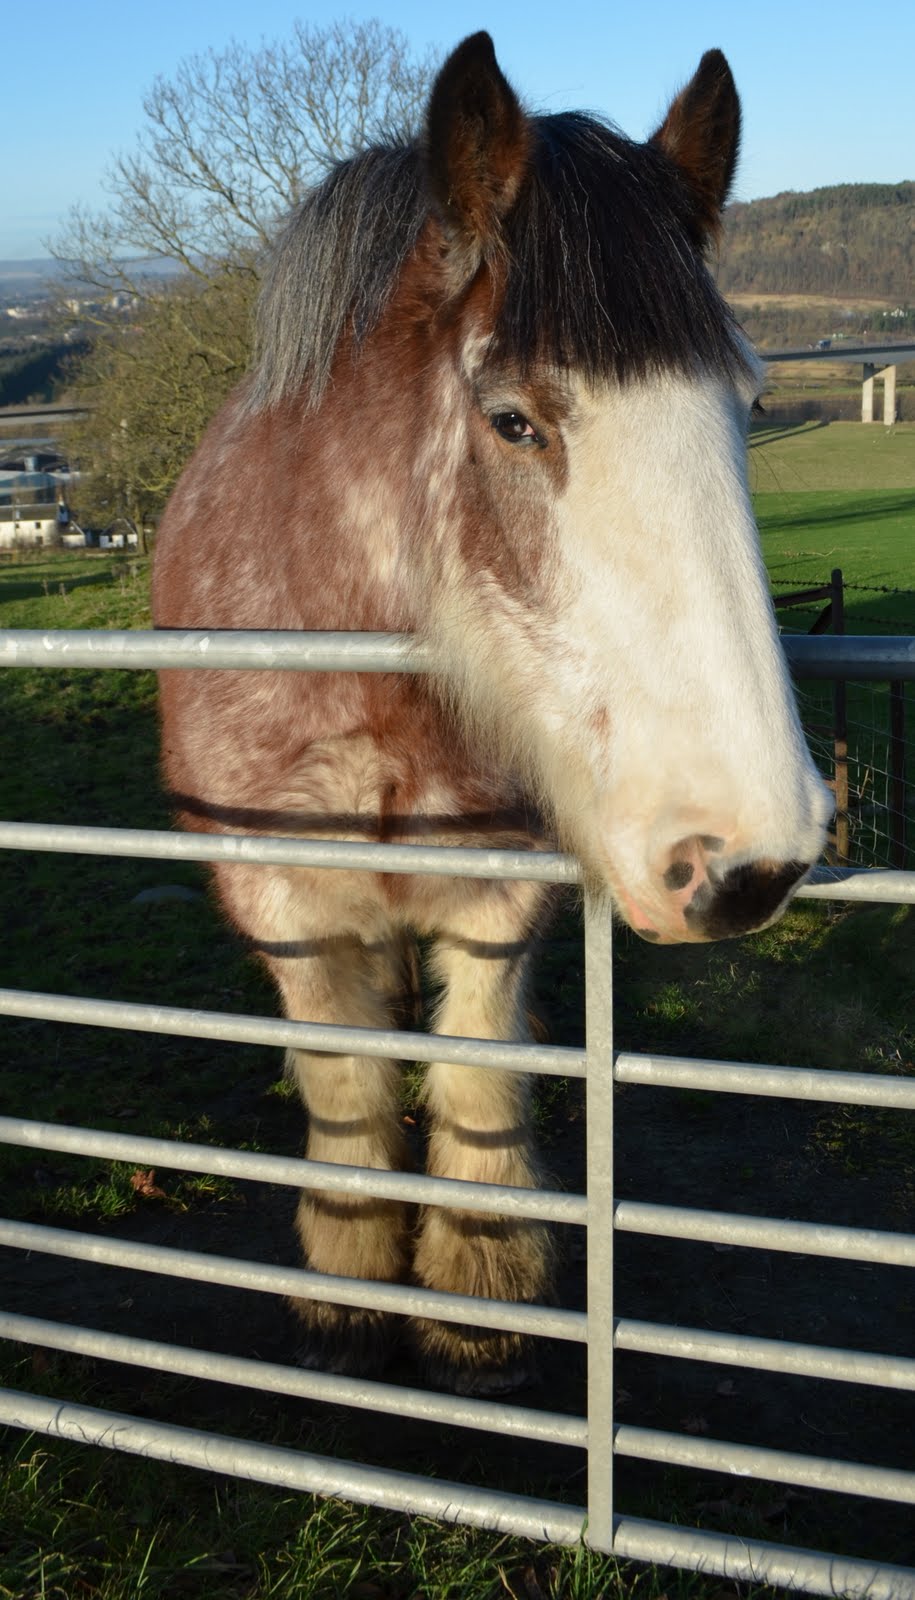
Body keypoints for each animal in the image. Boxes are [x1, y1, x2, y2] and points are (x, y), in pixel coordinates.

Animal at [152, 32, 830, 1395]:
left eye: (743, 403)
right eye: (514, 420)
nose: (749, 864)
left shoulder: (501, 897)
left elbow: (475, 1077)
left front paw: (477, 1301)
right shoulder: (287, 906)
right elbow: (349, 1082)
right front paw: (346, 1291)